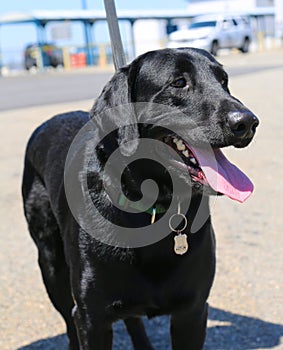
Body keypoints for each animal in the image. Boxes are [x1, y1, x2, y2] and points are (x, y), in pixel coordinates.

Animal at [22, 47, 260, 348]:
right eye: (179, 82)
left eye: (224, 81)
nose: (248, 122)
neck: (152, 207)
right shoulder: (90, 318)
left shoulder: (193, 311)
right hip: (51, 264)